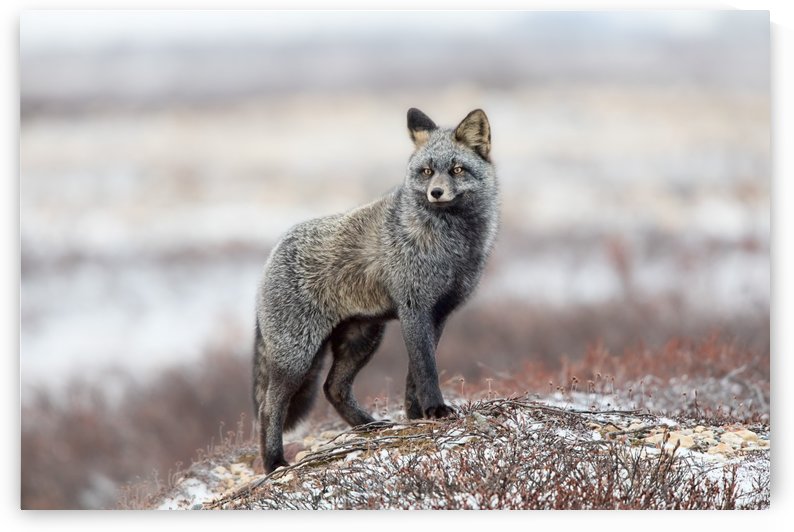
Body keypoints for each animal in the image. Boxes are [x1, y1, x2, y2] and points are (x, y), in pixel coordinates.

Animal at [253, 108, 499, 473]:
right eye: (427, 172)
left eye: (457, 169)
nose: (436, 193)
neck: (451, 245)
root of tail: (273, 251)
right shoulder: (415, 308)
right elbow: (427, 368)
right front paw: (435, 410)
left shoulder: (439, 313)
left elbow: (414, 375)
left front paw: (418, 415)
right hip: (298, 356)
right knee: (269, 408)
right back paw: (274, 463)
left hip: (363, 339)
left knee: (333, 388)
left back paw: (369, 426)